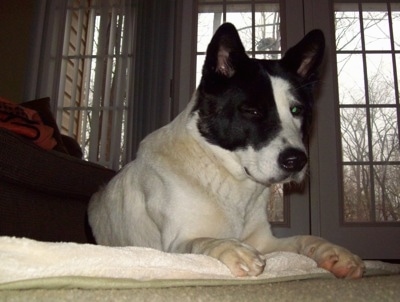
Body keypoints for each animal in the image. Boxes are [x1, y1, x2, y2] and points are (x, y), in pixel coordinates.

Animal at [90, 23, 366, 278]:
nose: (296, 161)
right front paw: (229, 248)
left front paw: (333, 251)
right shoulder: (173, 245)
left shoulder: (266, 242)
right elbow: (200, 242)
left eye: (297, 110)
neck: (224, 174)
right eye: (252, 111)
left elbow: (304, 239)